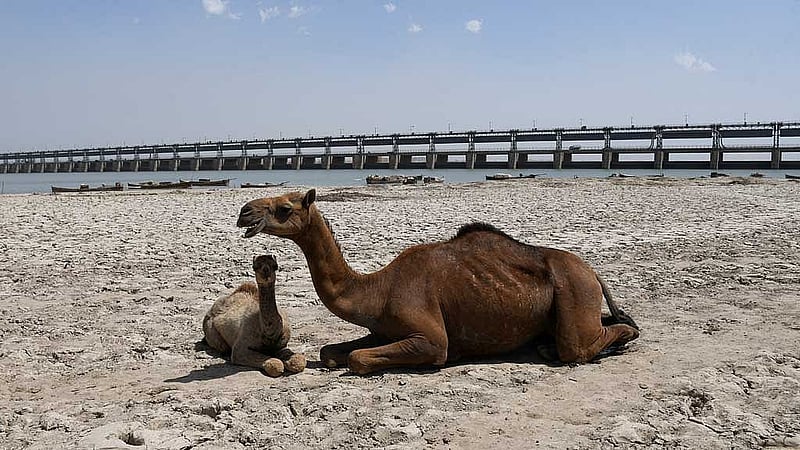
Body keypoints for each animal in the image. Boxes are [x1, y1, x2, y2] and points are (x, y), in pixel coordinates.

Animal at [236, 189, 640, 375]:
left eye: (285, 208)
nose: (244, 211)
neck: (377, 290)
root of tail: (592, 272)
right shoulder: (381, 328)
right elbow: (330, 351)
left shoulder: (430, 338)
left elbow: (357, 358)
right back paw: (547, 347)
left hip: (574, 291)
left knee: (589, 343)